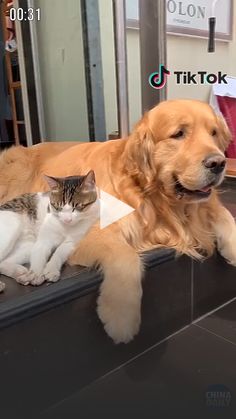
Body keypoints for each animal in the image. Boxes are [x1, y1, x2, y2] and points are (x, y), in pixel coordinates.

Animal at [0, 99, 234, 344]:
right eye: (179, 134)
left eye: (214, 133)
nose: (218, 163)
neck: (156, 200)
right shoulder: (91, 231)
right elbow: (126, 256)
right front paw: (121, 317)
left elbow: (226, 216)